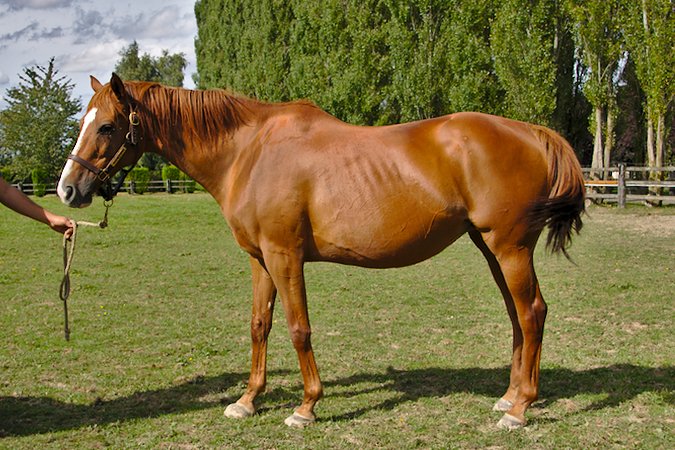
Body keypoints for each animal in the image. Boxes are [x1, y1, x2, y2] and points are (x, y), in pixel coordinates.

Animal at [57, 73, 585, 429]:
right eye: (85, 121)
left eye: (107, 127)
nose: (67, 190)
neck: (249, 152)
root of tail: (532, 133)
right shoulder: (259, 260)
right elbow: (260, 326)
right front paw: (247, 400)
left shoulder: (284, 256)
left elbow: (298, 329)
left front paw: (306, 406)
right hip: (492, 248)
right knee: (518, 317)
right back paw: (509, 396)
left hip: (509, 247)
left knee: (532, 313)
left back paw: (521, 408)